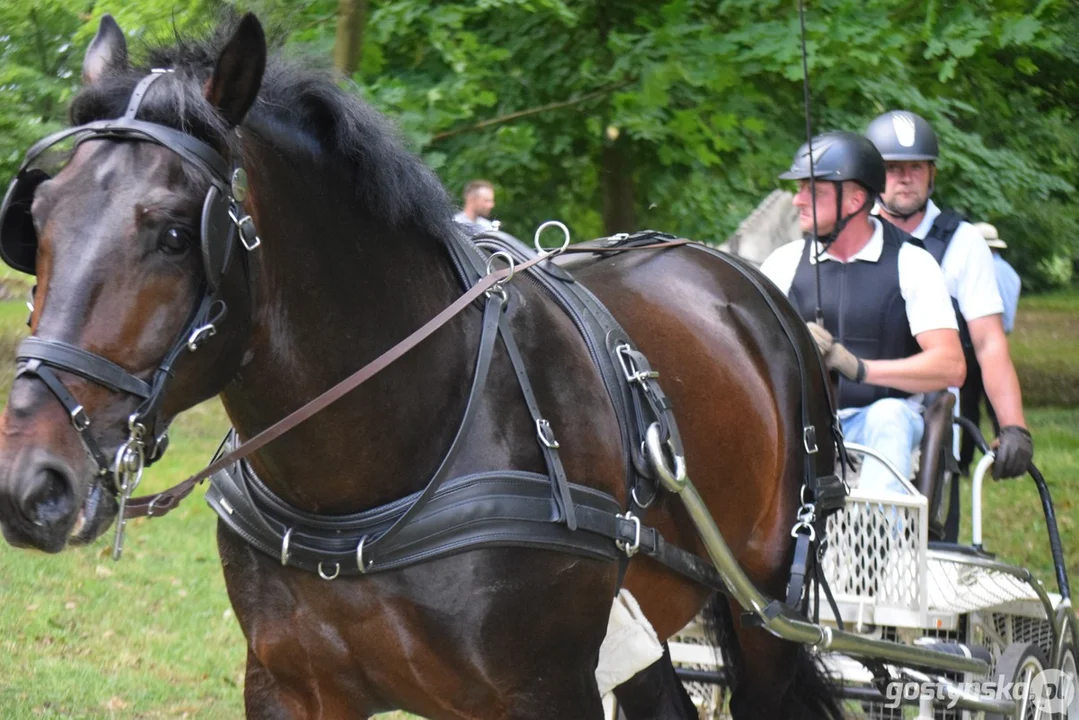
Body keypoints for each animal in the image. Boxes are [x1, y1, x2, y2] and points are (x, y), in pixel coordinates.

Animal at [0, 12, 841, 720]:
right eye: (35, 221)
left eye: (177, 234)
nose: (28, 483)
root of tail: (735, 276)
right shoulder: (286, 685)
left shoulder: (546, 691)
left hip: (766, 614)